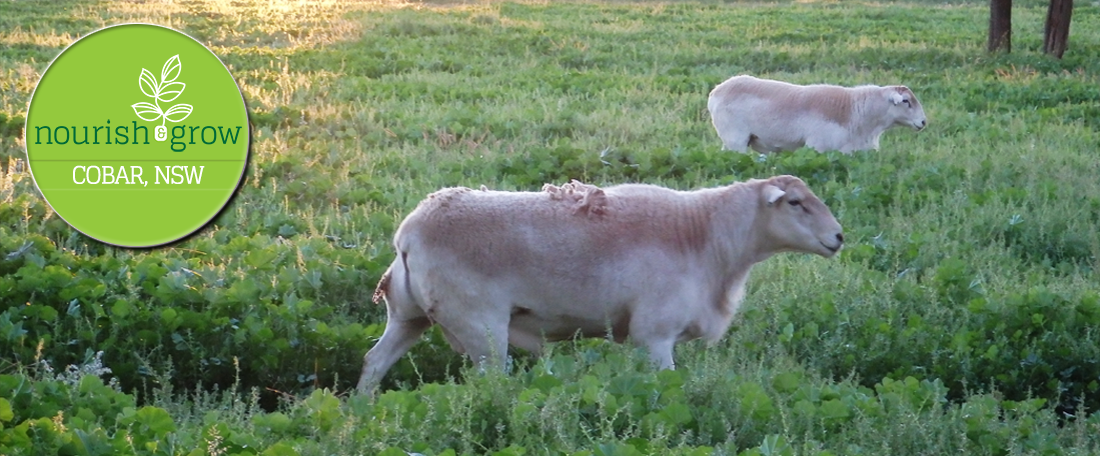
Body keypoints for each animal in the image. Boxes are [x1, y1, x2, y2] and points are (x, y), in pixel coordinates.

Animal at [352, 176, 840, 395]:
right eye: (795, 203)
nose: (839, 237)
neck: (705, 236)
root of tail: (408, 233)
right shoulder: (654, 334)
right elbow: (669, 384)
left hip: (408, 314)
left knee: (374, 361)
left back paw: (364, 406)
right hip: (480, 324)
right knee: (491, 381)